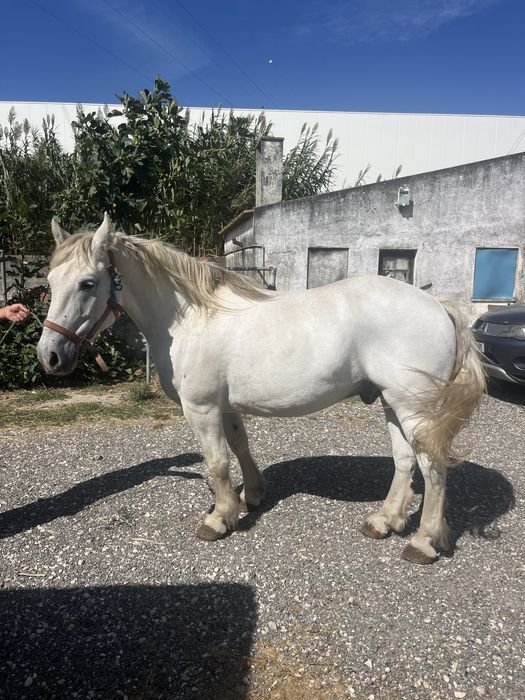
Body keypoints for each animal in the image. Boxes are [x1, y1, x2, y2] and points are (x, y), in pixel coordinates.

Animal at [37, 214, 486, 564]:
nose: (49, 356)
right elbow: (239, 447)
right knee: (405, 462)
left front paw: (219, 518)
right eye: (51, 280)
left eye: (88, 283)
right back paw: (384, 521)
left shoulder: (201, 408)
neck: (189, 317)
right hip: (393, 404)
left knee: (432, 467)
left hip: (415, 410)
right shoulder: (225, 406)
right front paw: (250, 497)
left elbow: (216, 461)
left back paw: (423, 543)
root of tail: (438, 305)